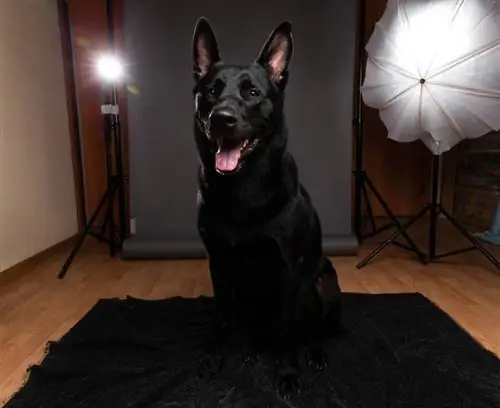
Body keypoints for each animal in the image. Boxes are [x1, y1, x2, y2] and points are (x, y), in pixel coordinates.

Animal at [192, 17, 344, 396]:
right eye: (211, 91)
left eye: (252, 93)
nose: (222, 118)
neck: (243, 189)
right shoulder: (219, 263)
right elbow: (220, 319)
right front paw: (213, 359)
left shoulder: (289, 267)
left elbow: (289, 328)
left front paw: (288, 373)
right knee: (257, 326)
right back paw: (254, 346)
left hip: (324, 284)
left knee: (310, 329)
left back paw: (314, 352)